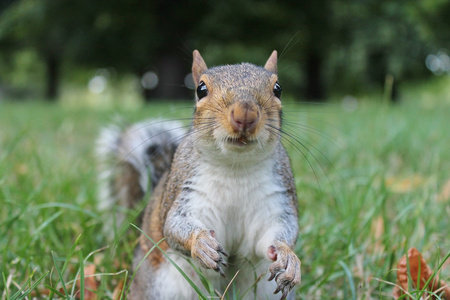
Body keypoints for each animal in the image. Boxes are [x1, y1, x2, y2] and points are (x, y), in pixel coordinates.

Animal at [98, 50, 302, 298]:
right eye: (201, 89)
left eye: (278, 88)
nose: (245, 113)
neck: (235, 165)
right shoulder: (187, 192)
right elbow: (174, 226)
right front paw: (201, 243)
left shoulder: (275, 199)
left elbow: (276, 233)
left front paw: (287, 258)